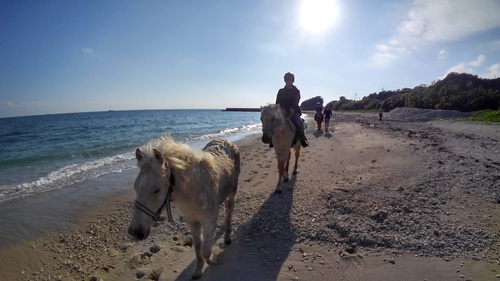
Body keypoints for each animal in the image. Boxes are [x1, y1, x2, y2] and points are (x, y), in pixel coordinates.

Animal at [127, 136, 240, 278]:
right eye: (135, 187)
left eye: (157, 190)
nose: (135, 232)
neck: (194, 192)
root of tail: (226, 141)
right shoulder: (192, 222)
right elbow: (197, 247)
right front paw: (198, 271)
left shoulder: (209, 220)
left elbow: (205, 250)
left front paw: (213, 260)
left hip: (233, 193)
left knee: (230, 211)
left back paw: (227, 238)